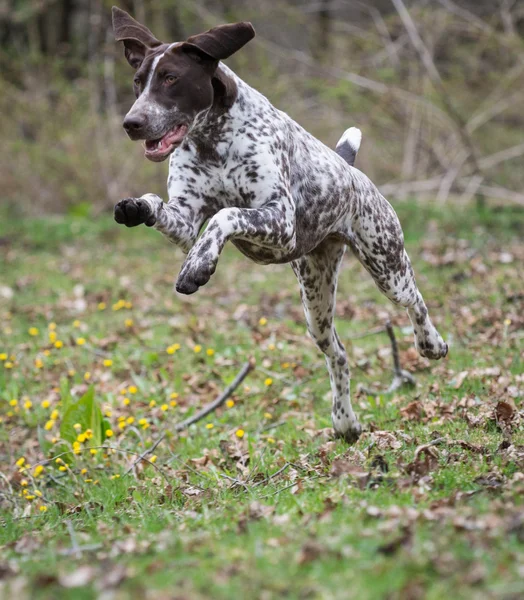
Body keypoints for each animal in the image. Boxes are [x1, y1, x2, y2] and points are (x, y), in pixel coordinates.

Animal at [110, 7, 446, 442]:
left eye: (171, 78)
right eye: (138, 82)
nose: (132, 123)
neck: (212, 140)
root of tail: (351, 171)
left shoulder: (281, 222)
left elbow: (225, 215)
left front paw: (198, 266)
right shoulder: (184, 219)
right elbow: (165, 208)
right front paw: (137, 207)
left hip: (388, 267)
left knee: (415, 301)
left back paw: (431, 344)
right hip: (316, 304)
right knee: (338, 355)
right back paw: (345, 421)